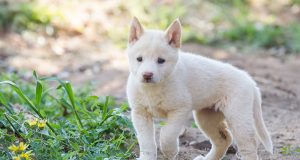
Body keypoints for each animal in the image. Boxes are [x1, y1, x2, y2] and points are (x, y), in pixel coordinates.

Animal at [125, 17, 274, 160]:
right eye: (139, 59)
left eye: (161, 60)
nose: (147, 75)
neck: (152, 89)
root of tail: (250, 81)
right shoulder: (140, 114)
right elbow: (146, 141)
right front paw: (146, 157)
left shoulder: (180, 110)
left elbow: (168, 133)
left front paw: (170, 151)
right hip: (206, 117)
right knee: (224, 139)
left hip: (238, 117)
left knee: (249, 145)